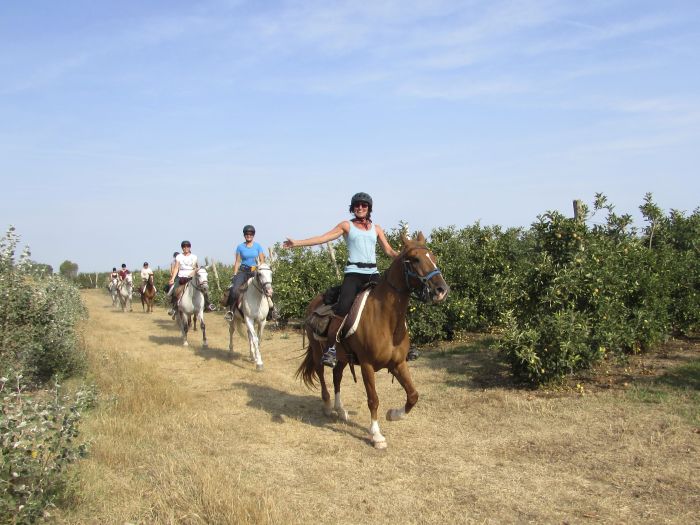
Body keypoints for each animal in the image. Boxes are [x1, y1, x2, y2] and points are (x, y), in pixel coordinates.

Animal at [296, 231, 448, 448]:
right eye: (415, 259)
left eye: (433, 257)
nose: (441, 290)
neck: (386, 320)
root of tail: (313, 303)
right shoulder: (367, 365)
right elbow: (373, 399)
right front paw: (376, 435)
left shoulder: (398, 363)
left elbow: (413, 395)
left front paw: (393, 414)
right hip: (318, 352)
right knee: (322, 375)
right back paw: (327, 407)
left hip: (343, 357)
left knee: (337, 376)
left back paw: (341, 411)